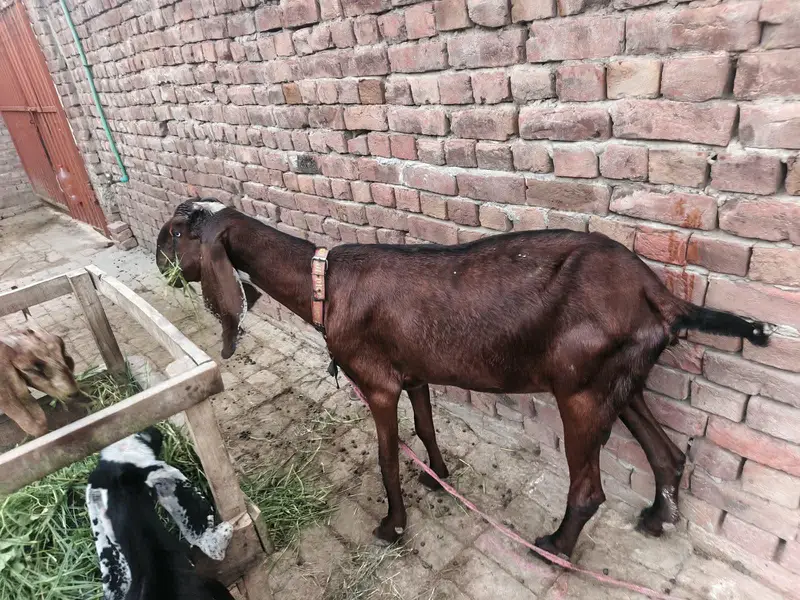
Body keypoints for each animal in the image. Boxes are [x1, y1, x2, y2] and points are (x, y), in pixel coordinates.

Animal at [156, 198, 769, 560]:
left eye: (178, 232)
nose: (160, 264)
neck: (323, 283)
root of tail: (657, 294)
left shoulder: (377, 385)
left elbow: (386, 458)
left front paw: (393, 526)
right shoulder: (414, 374)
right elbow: (427, 428)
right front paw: (438, 477)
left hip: (581, 389)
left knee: (590, 489)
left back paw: (555, 546)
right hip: (621, 380)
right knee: (668, 455)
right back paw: (658, 519)